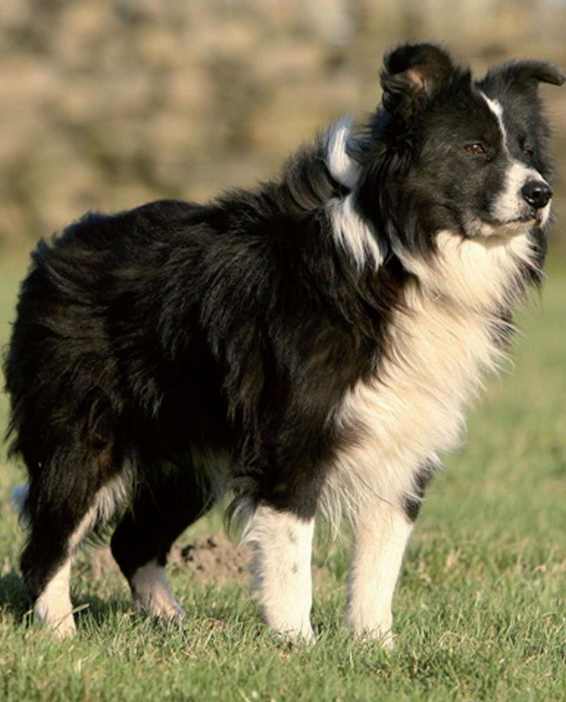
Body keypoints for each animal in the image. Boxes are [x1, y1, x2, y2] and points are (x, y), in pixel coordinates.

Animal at [3, 44, 564, 648]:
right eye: (475, 148)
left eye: (526, 150)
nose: (540, 193)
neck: (398, 257)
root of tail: (54, 251)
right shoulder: (291, 438)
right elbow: (293, 554)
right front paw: (297, 644)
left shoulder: (403, 439)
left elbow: (380, 562)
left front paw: (375, 646)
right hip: (84, 435)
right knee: (49, 543)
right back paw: (61, 633)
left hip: (186, 454)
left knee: (132, 541)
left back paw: (174, 624)